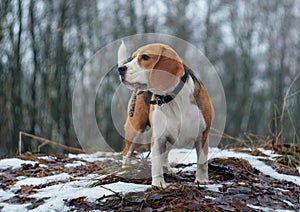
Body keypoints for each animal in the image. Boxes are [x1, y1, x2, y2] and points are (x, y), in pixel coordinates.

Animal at [117, 41, 213, 187]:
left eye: (145, 57)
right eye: (132, 57)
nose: (121, 69)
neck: (172, 98)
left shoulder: (202, 134)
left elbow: (202, 161)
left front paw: (201, 180)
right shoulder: (157, 138)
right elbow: (156, 163)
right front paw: (158, 184)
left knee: (165, 155)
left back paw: (168, 169)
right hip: (134, 130)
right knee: (126, 153)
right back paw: (126, 170)